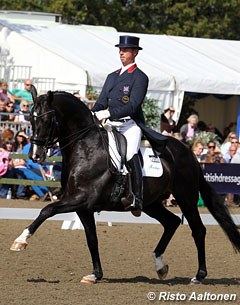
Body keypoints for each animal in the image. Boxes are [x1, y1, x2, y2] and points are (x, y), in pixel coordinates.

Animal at [10, 89, 240, 282]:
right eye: (30, 118)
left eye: (47, 119)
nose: (35, 155)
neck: (85, 148)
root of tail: (187, 151)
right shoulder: (83, 207)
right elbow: (92, 239)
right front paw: (95, 275)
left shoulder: (80, 199)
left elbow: (47, 210)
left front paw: (21, 240)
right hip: (151, 203)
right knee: (172, 222)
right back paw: (160, 266)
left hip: (186, 198)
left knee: (198, 230)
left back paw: (199, 275)